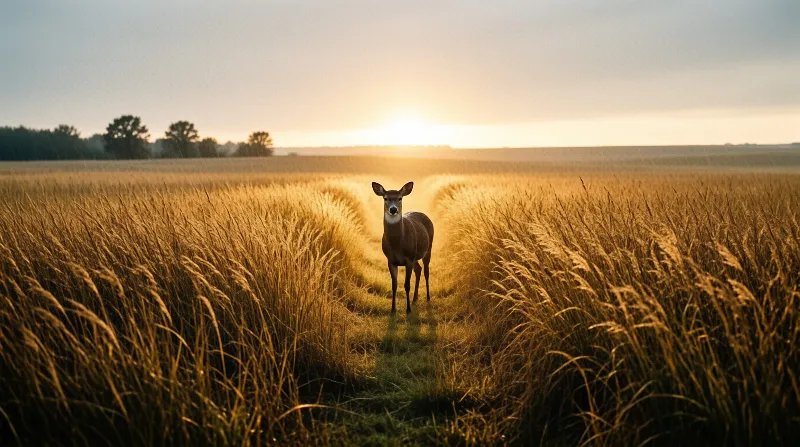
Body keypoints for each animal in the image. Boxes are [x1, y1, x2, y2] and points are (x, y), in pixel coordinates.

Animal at [372, 181, 434, 314]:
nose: (393, 209)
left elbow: (406, 285)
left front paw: (408, 310)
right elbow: (394, 285)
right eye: (385, 198)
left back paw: (427, 297)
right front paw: (393, 310)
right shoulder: (391, 260)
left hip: (428, 248)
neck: (397, 246)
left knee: (426, 271)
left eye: (400, 198)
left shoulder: (409, 259)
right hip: (415, 256)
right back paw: (415, 299)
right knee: (419, 269)